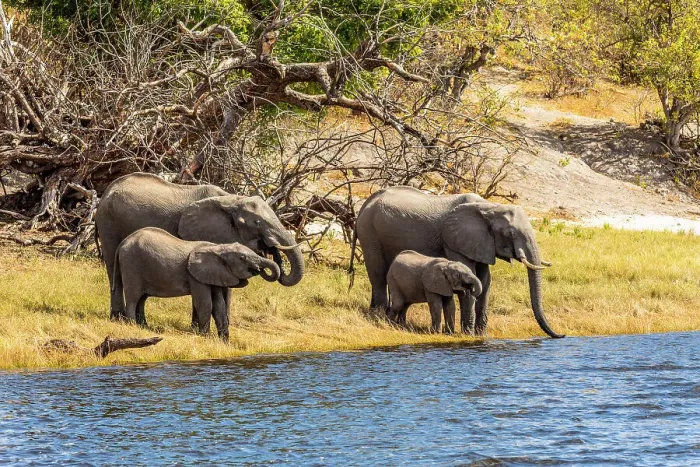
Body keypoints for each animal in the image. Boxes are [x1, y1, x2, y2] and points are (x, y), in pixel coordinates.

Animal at [95, 172, 304, 326]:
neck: (232, 199)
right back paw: (118, 319)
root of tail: (106, 192)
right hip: (109, 223)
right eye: (257, 223)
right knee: (114, 271)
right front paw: (197, 329)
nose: (270, 248)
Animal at [113, 227, 280, 340]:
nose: (259, 269)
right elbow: (205, 303)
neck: (217, 248)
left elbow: (219, 305)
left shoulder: (214, 273)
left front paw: (224, 342)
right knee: (133, 298)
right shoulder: (195, 276)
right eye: (242, 258)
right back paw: (133, 326)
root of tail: (122, 244)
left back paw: (145, 328)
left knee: (142, 299)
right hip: (131, 265)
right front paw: (206, 337)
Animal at [349, 186, 564, 338]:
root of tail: (366, 203)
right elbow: (471, 275)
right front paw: (468, 335)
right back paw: (379, 317)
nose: (561, 335)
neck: (489, 207)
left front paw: (482, 335)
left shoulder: (480, 243)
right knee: (378, 275)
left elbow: (485, 281)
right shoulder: (453, 241)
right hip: (370, 233)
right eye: (510, 233)